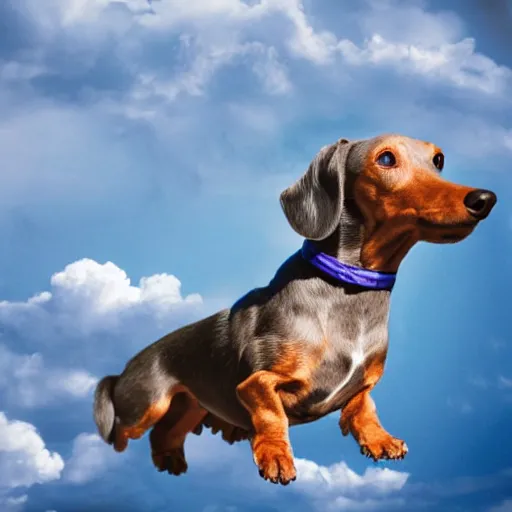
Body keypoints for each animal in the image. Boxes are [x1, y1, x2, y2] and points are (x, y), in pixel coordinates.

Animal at [92, 132, 496, 484]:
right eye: (385, 158)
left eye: (438, 159)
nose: (485, 199)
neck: (350, 292)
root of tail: (124, 370)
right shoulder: (255, 383)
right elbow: (272, 416)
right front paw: (275, 455)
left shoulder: (365, 384)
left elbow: (363, 408)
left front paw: (379, 439)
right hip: (145, 406)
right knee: (123, 434)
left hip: (189, 407)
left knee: (164, 434)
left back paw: (171, 461)